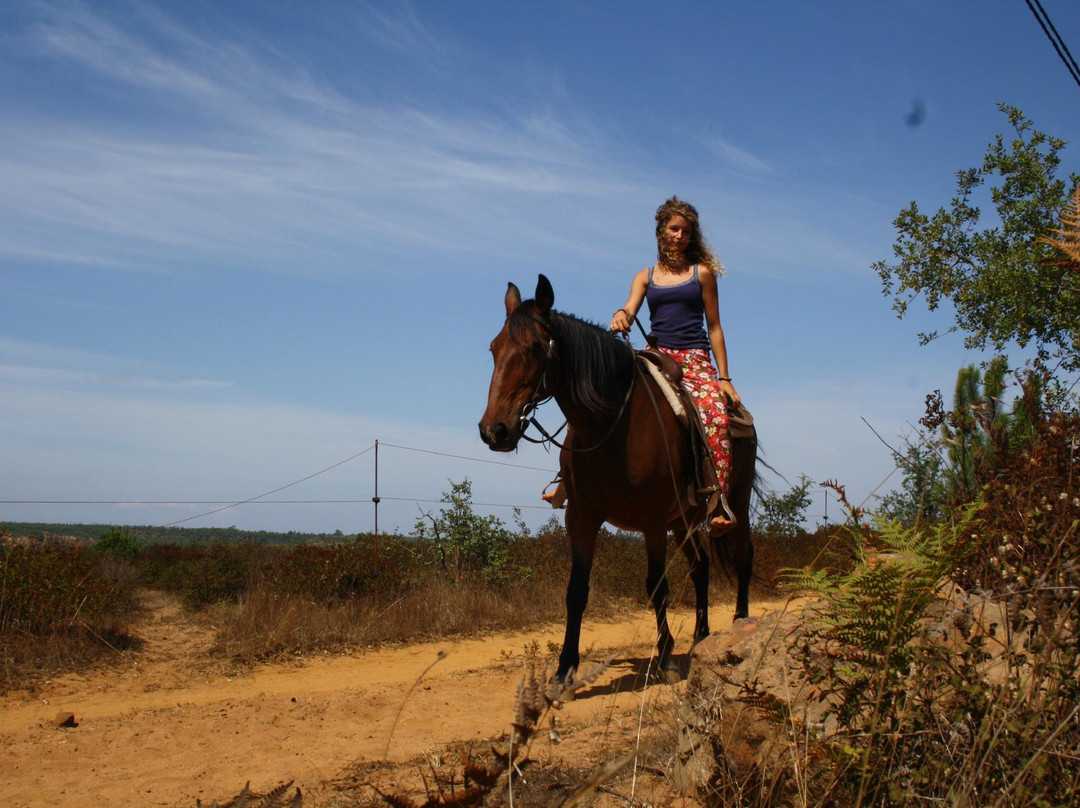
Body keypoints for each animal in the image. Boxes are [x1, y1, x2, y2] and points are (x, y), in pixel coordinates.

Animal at [477, 274, 756, 678]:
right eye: (494, 348)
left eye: (533, 348)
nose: (494, 430)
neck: (611, 427)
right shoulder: (582, 517)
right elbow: (577, 591)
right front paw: (565, 668)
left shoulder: (652, 521)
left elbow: (656, 585)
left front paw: (665, 655)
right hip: (684, 520)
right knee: (700, 567)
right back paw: (700, 638)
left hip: (737, 502)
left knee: (742, 558)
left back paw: (739, 624)